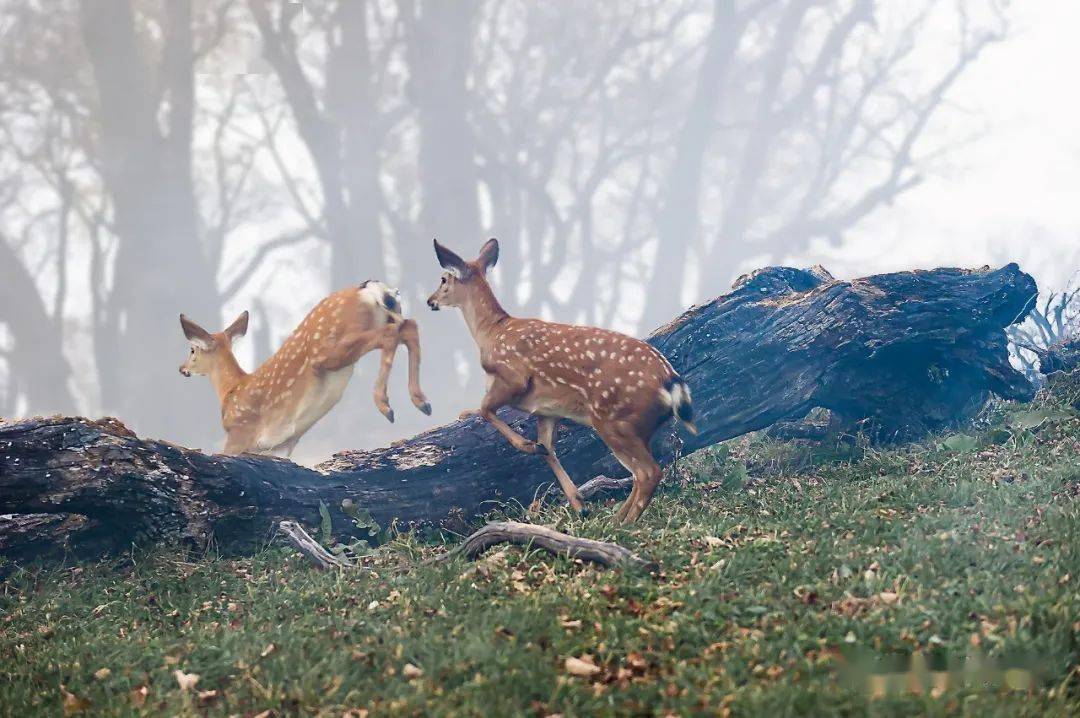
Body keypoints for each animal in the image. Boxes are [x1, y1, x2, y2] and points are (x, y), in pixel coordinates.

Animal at [178, 280, 429, 453]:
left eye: (192, 350)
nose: (182, 369)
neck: (231, 390)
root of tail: (368, 289)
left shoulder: (240, 432)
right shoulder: (280, 445)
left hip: (331, 348)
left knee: (391, 335)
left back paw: (385, 404)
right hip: (386, 319)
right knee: (409, 327)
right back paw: (421, 402)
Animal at [425, 237, 695, 524]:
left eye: (443, 278)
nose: (429, 301)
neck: (491, 333)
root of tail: (672, 383)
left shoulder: (513, 378)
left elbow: (483, 410)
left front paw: (529, 446)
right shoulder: (547, 410)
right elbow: (548, 448)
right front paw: (578, 502)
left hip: (614, 420)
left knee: (648, 472)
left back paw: (622, 523)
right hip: (635, 427)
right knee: (641, 473)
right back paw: (615, 518)